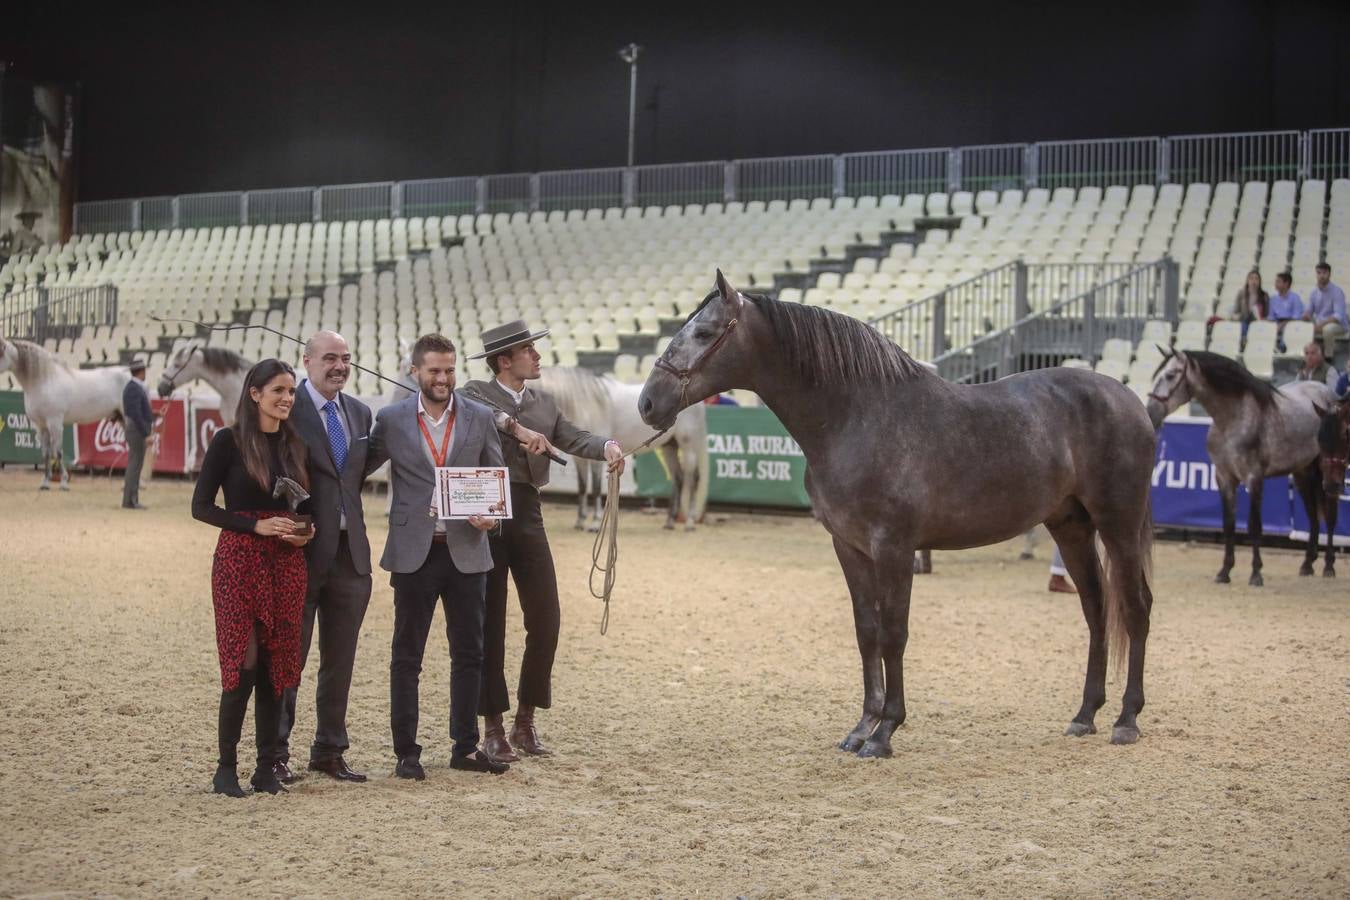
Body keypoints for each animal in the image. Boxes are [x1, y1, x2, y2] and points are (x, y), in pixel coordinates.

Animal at [0, 340, 130, 493]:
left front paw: (63, 482)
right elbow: (46, 454)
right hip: (121, 419)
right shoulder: (41, 426)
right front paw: (45, 483)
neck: (46, 381)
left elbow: (58, 452)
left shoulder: (55, 423)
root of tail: (130, 376)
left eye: (0, 353)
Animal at [534, 367, 712, 534]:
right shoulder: (580, 457)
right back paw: (669, 522)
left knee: (692, 479)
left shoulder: (596, 459)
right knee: (678, 478)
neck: (586, 402)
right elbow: (582, 487)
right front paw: (580, 521)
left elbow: (596, 488)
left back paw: (689, 522)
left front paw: (595, 523)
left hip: (688, 447)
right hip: (670, 447)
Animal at [642, 271, 1161, 755]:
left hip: (1118, 524)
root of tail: (1130, 400)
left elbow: (894, 633)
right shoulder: (849, 546)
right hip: (1070, 527)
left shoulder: (893, 547)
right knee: (1096, 609)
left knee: (1135, 607)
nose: (648, 403)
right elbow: (867, 631)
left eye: (705, 332)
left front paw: (885, 731)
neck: (858, 417)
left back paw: (1126, 720)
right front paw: (861, 727)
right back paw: (1085, 714)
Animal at [1139, 348, 1339, 588]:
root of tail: (1327, 393)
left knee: (1329, 516)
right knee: (1312, 516)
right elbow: (1229, 524)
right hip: (1303, 472)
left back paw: (1328, 566)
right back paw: (1307, 564)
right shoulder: (1224, 478)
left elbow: (1254, 525)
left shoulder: (1254, 478)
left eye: (1170, 375)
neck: (1233, 419)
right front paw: (1224, 571)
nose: (1151, 413)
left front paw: (1256, 573)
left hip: (1327, 471)